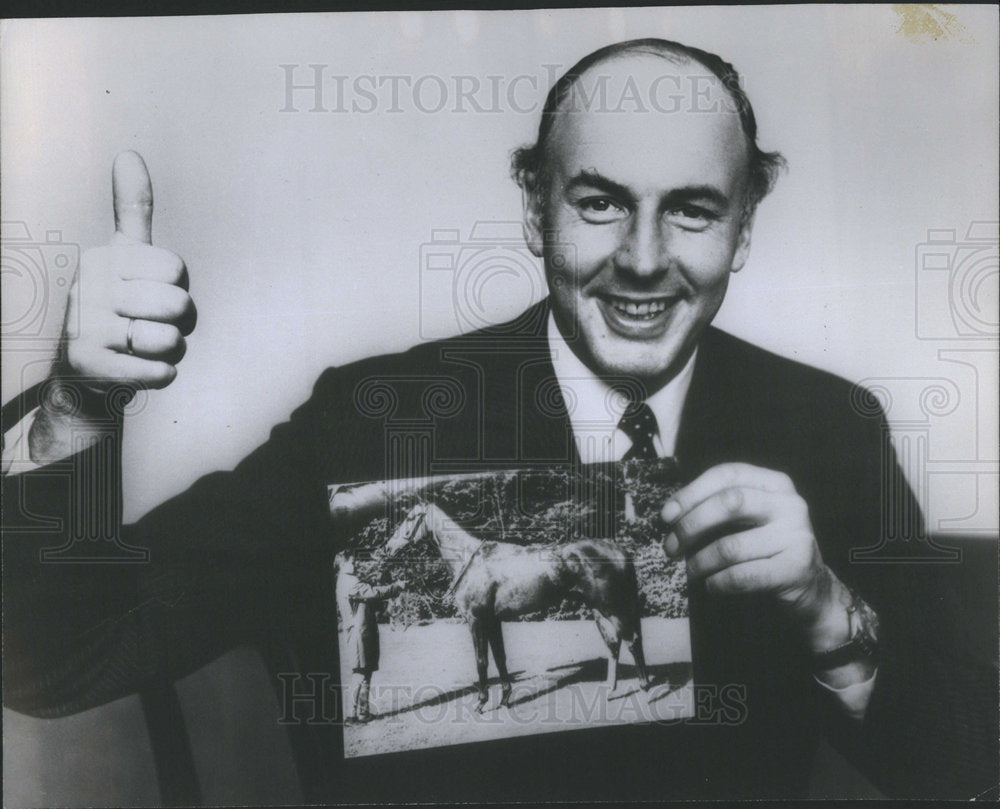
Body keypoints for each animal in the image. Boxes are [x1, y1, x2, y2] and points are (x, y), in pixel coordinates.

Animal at [380, 502, 648, 712]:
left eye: (410, 518)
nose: (387, 548)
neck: (470, 560)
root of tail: (619, 550)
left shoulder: (476, 620)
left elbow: (482, 660)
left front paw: (481, 702)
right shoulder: (492, 620)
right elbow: (500, 658)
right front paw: (505, 698)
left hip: (613, 609)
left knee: (632, 641)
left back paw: (644, 687)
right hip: (599, 610)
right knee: (614, 646)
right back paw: (611, 691)